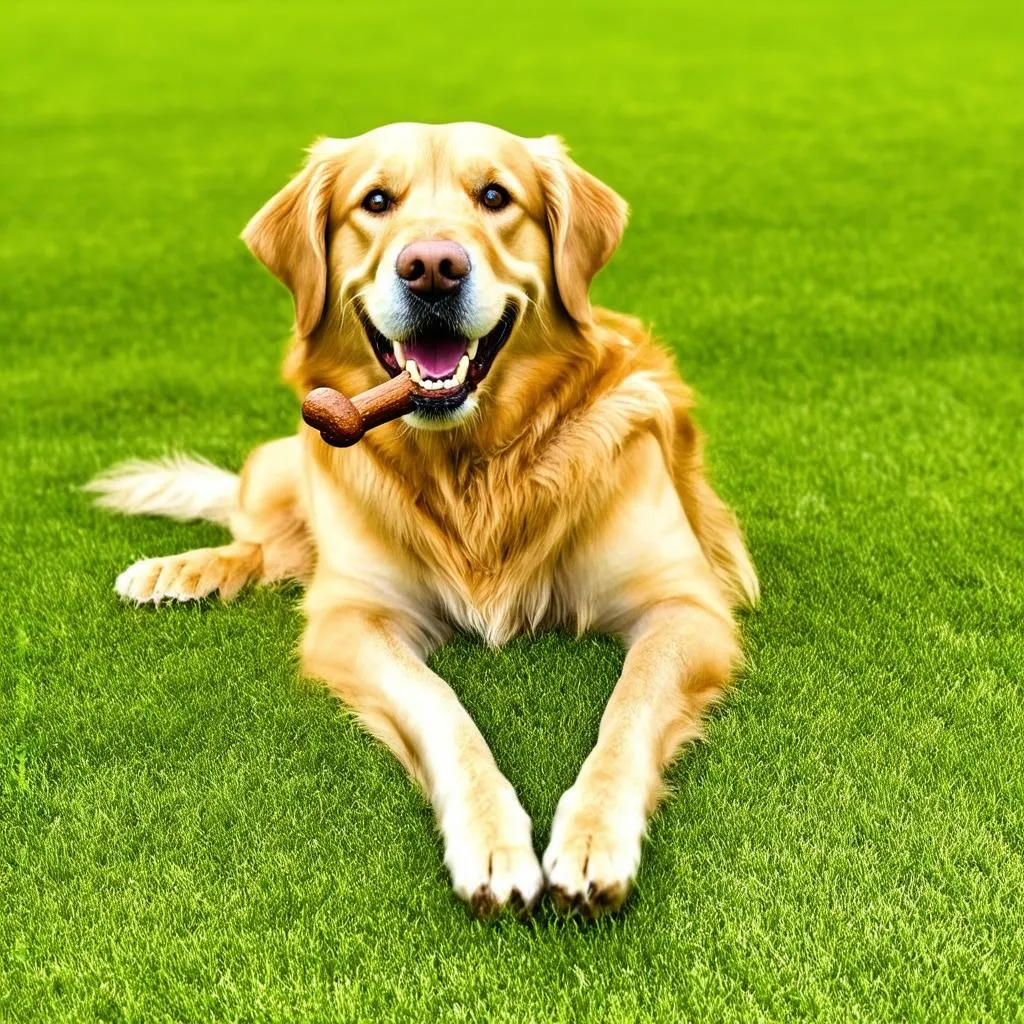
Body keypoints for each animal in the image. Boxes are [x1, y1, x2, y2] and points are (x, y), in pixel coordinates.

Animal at [90, 121, 761, 921]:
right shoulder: (351, 615)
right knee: (257, 540)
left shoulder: (683, 606)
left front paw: (593, 838)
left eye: (496, 196)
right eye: (376, 202)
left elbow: (627, 710)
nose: (433, 268)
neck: (474, 469)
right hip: (283, 463)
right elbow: (442, 707)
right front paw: (494, 843)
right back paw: (176, 571)